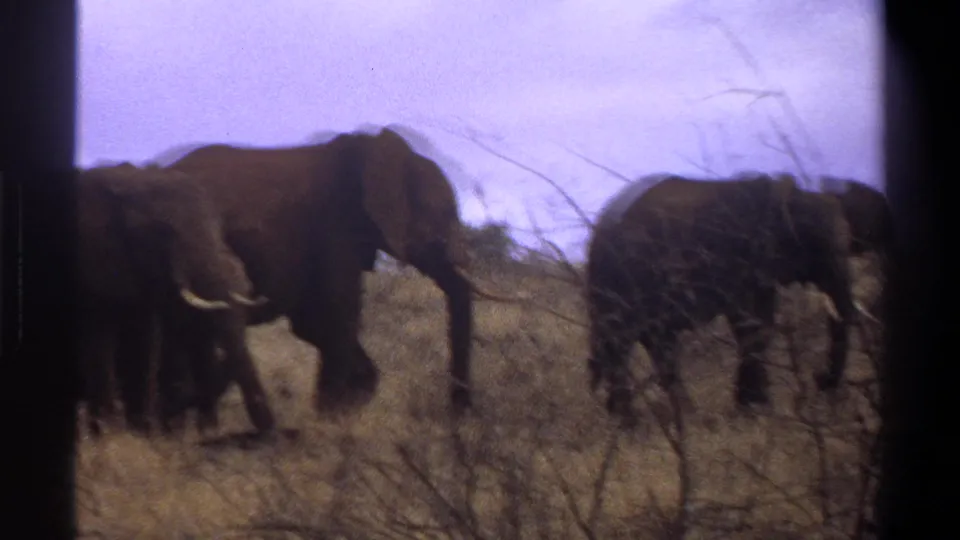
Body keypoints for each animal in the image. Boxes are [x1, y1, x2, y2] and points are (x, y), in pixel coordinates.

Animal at [76, 162, 275, 437]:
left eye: (218, 226)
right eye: (162, 232)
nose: (270, 429)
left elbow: (146, 342)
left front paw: (141, 435)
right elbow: (99, 341)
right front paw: (108, 435)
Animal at [162, 125, 516, 418]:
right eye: (441, 220)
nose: (458, 414)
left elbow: (312, 323)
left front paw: (345, 406)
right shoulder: (335, 227)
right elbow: (337, 313)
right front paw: (329, 420)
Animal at [584, 171, 893, 427]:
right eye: (814, 243)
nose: (819, 380)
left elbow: (763, 324)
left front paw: (755, 407)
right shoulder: (737, 257)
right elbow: (749, 324)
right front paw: (753, 410)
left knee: (659, 345)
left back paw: (686, 419)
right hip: (619, 280)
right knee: (622, 344)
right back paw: (630, 425)